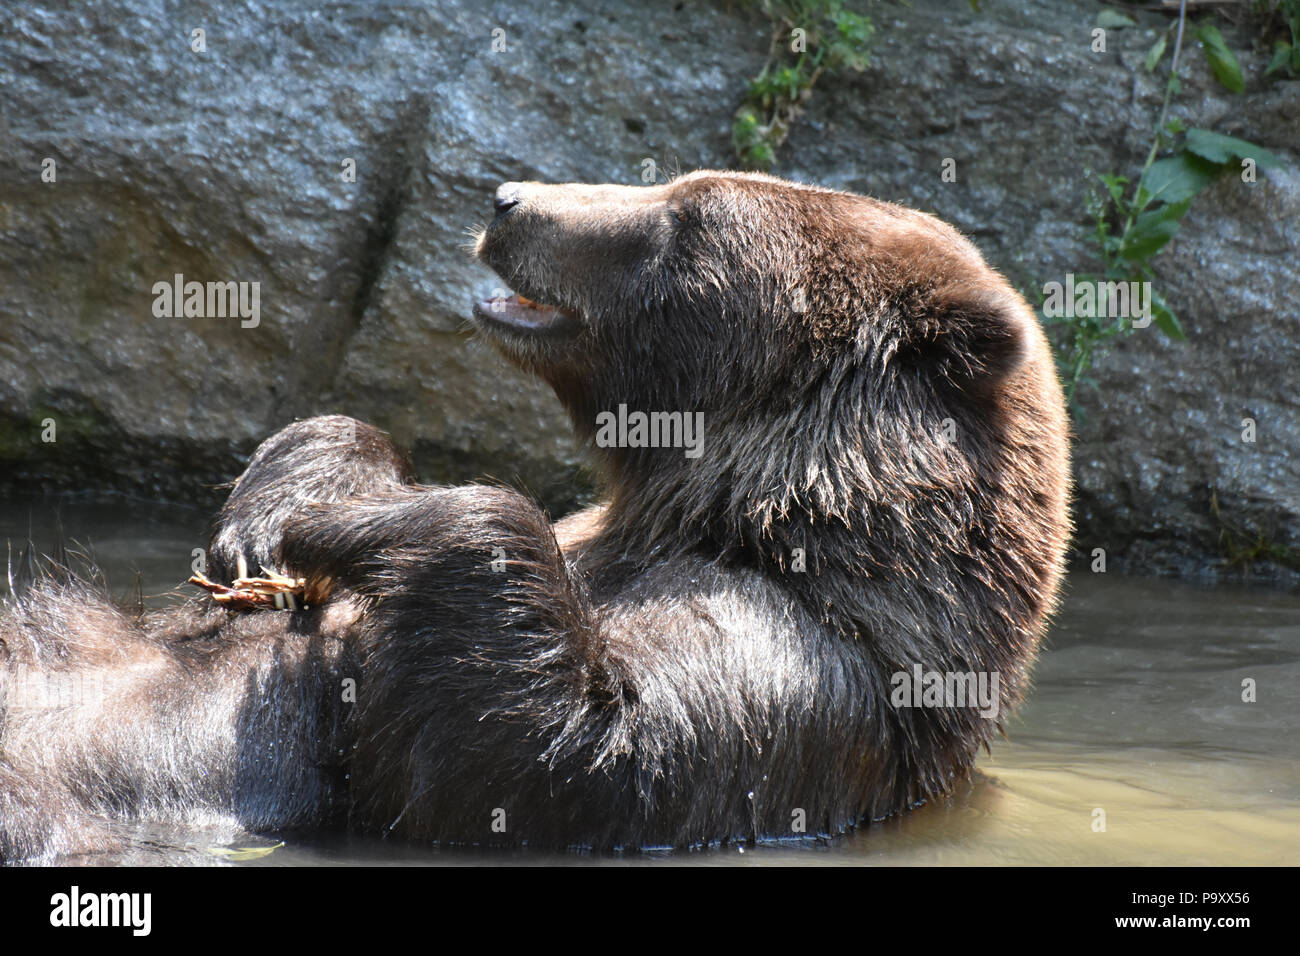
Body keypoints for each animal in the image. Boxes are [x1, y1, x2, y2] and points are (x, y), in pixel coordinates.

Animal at [0, 171, 1071, 858]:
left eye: (685, 216)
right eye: (676, 183)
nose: (509, 200)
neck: (719, 508)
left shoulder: (800, 664)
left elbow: (564, 748)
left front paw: (365, 522)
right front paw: (280, 510)